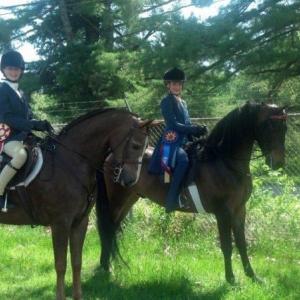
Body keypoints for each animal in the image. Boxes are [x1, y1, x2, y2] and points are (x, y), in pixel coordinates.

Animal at [0, 109, 152, 300]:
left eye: (144, 147)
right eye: (135, 145)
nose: (130, 180)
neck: (72, 161)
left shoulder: (80, 222)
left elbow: (76, 262)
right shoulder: (60, 223)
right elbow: (60, 264)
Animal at [97, 102, 288, 284]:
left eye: (284, 128)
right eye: (270, 126)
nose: (278, 163)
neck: (225, 163)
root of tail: (111, 156)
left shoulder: (239, 210)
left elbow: (242, 243)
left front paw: (252, 276)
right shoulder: (223, 213)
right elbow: (227, 246)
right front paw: (231, 279)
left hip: (129, 199)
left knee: (113, 228)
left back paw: (110, 265)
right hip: (117, 200)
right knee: (108, 228)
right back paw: (105, 268)